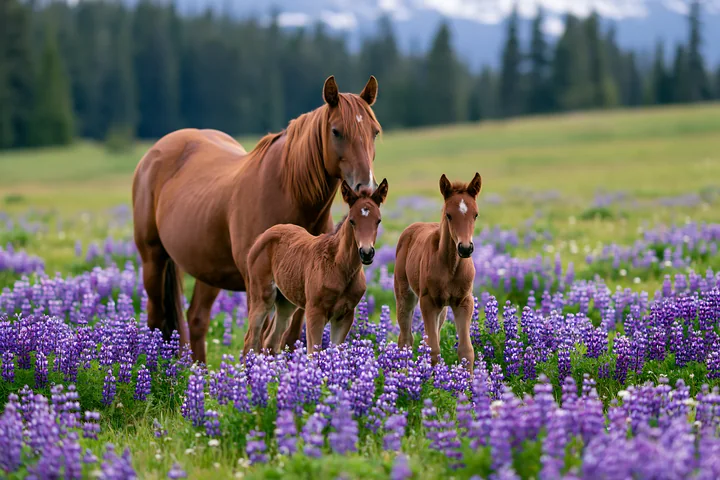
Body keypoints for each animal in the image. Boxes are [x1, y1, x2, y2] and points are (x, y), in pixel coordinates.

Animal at [244, 179, 388, 355]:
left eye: (378, 220)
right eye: (352, 220)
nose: (366, 253)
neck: (339, 267)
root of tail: (262, 236)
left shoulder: (345, 316)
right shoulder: (315, 312)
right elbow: (314, 353)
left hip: (286, 302)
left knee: (271, 340)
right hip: (262, 296)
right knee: (251, 340)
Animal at [393, 172, 483, 374]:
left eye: (475, 214)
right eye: (449, 215)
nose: (465, 248)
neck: (451, 266)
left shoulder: (464, 302)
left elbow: (466, 350)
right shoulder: (428, 302)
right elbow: (433, 349)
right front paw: (432, 381)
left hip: (442, 309)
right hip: (405, 296)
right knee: (405, 339)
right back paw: (402, 372)